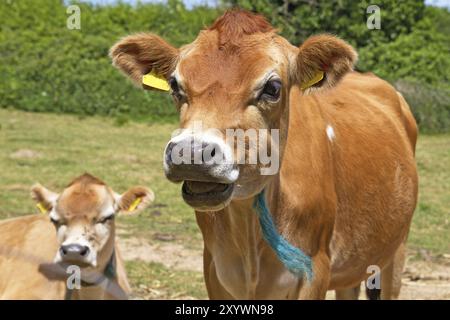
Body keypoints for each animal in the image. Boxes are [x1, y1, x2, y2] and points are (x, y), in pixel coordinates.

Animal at [110, 10, 418, 300]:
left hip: (397, 248)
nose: (192, 153)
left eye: (272, 88)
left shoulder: (315, 270)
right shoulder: (213, 268)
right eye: (174, 84)